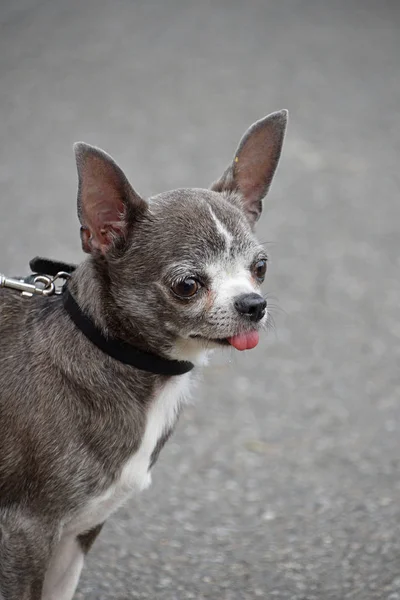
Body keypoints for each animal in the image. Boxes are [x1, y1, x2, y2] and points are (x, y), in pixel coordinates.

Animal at [0, 110, 288, 596]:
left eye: (260, 268)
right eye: (187, 285)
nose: (254, 304)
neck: (114, 352)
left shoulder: (79, 531)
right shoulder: (25, 534)